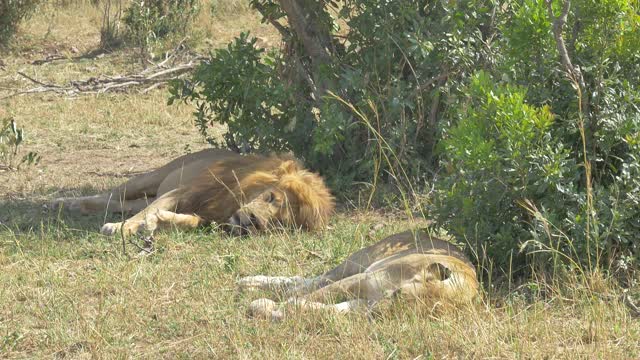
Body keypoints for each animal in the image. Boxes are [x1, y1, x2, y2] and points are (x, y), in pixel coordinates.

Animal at [50, 148, 336, 236]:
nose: (254, 222)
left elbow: (179, 219)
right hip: (153, 177)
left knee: (122, 204)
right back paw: (63, 203)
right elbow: (146, 211)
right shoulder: (183, 190)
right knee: (110, 196)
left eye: (281, 223)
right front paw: (121, 228)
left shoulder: (208, 215)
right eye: (271, 197)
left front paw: (159, 221)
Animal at [238, 229, 478, 320]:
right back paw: (248, 283)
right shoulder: (362, 281)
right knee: (306, 282)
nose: (377, 314)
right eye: (399, 294)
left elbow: (328, 309)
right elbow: (315, 295)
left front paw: (280, 310)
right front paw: (272, 307)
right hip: (357, 262)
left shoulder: (363, 302)